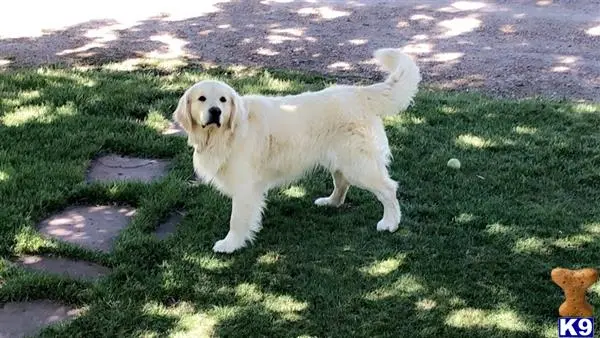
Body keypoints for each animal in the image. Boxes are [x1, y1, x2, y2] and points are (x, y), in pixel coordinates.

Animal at [171, 48, 420, 254]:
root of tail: (358, 93)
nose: (215, 111)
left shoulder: (245, 186)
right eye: (202, 99)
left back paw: (390, 223)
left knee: (388, 189)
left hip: (359, 164)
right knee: (342, 183)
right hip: (340, 160)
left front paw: (230, 244)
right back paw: (331, 202)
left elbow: (237, 219)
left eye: (223, 100)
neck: (223, 135)